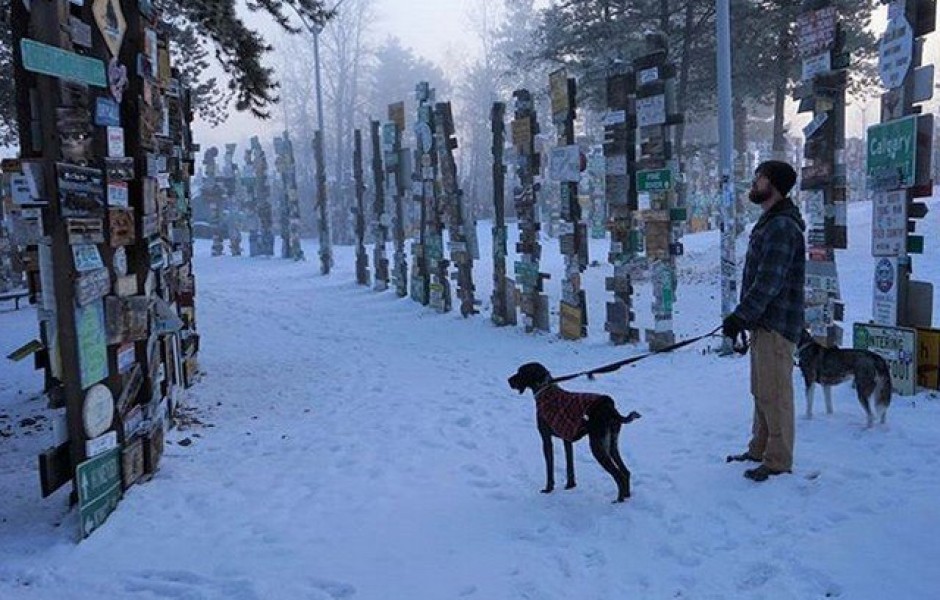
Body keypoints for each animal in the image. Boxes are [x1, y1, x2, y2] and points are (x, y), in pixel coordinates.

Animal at [506, 360, 640, 502]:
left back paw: (619, 500)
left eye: (521, 372)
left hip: (597, 446)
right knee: (626, 472)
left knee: (619, 475)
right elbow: (569, 466)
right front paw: (570, 486)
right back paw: (626, 496)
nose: (508, 380)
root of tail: (609, 407)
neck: (544, 389)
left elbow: (550, 467)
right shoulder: (567, 439)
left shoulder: (546, 439)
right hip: (611, 445)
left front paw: (548, 489)